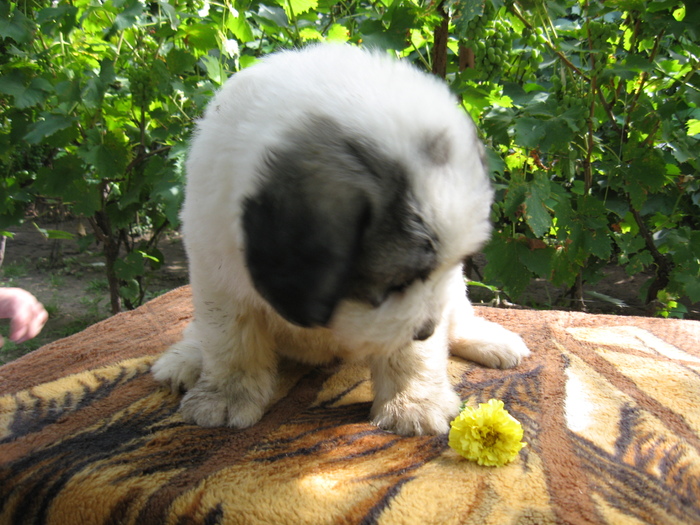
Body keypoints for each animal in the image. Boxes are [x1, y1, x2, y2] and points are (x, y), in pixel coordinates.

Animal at [150, 44, 528, 434]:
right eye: (396, 283)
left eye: (447, 265)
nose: (424, 330)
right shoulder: (217, 268)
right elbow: (231, 340)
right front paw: (225, 396)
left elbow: (410, 353)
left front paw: (413, 404)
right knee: (200, 334)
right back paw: (183, 360)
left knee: (458, 315)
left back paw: (488, 340)